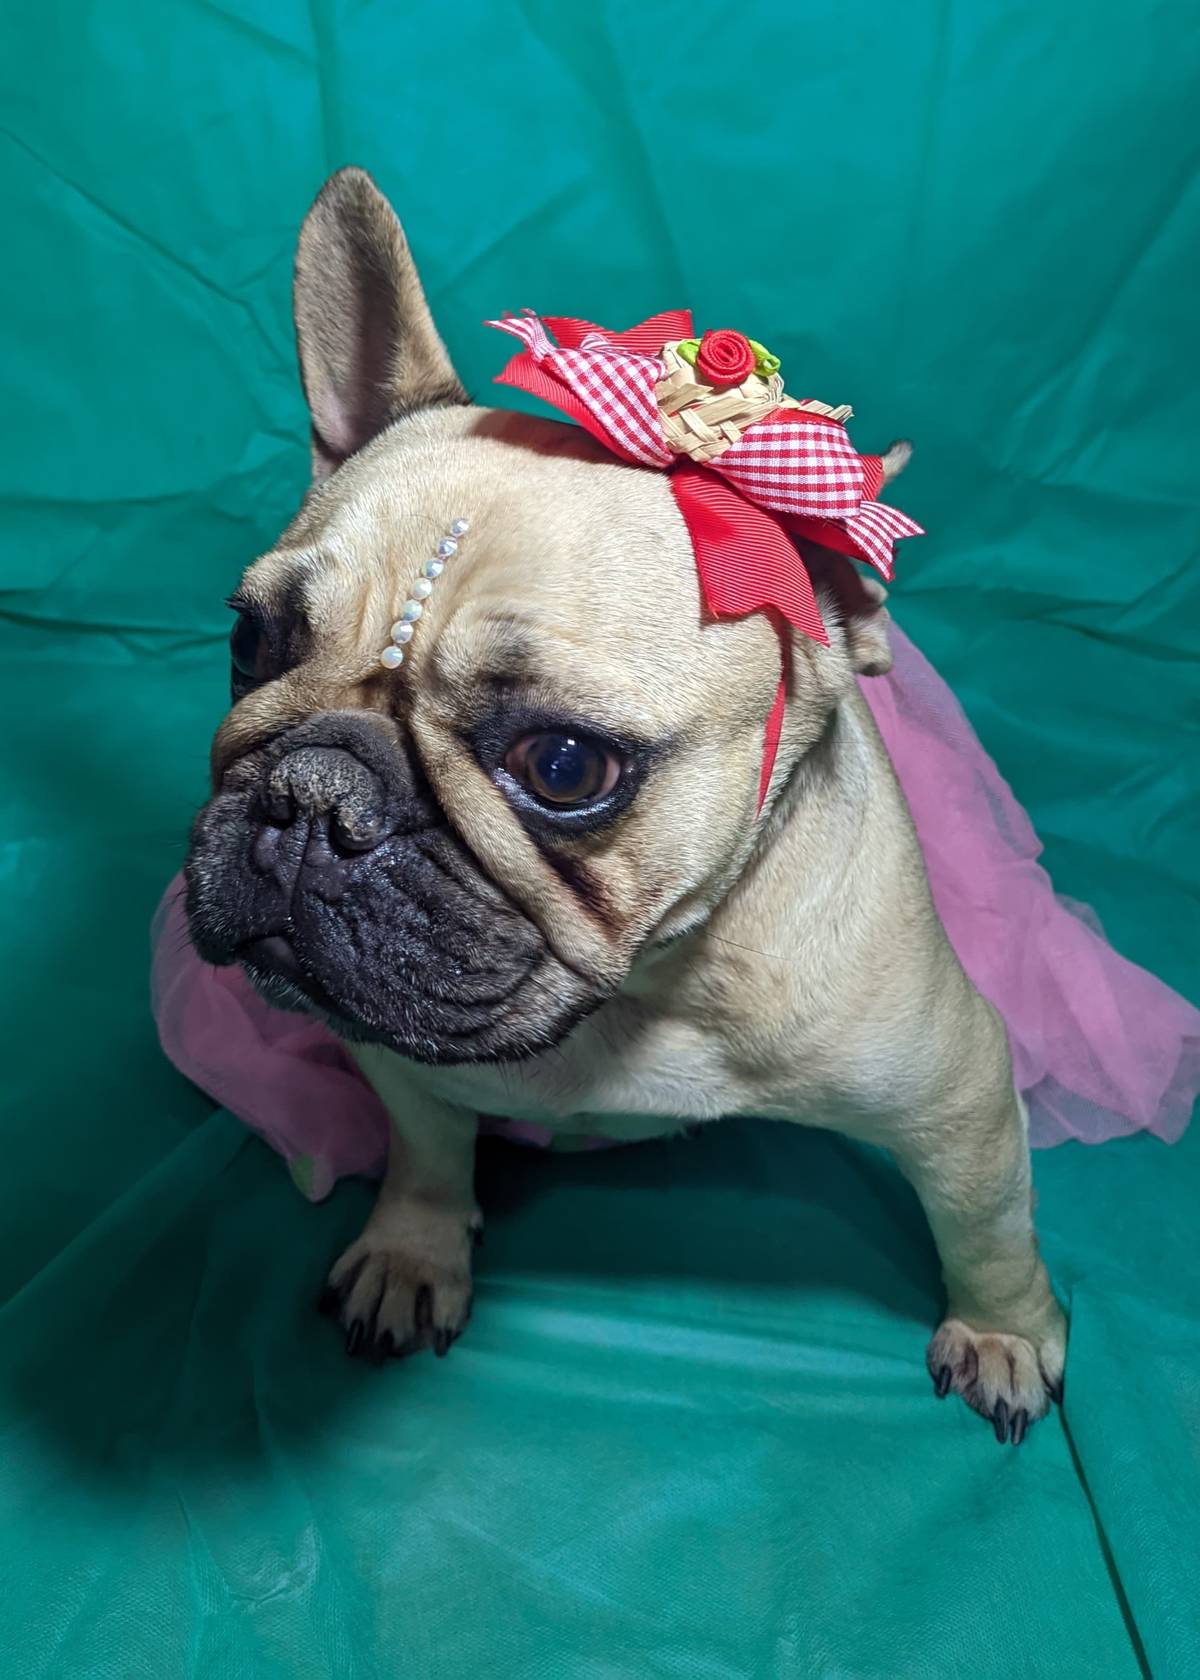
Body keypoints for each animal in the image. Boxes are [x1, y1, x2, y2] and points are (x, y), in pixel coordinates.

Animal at [184, 167, 1066, 1442]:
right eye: (253, 642)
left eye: (565, 768)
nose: (312, 798)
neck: (631, 992)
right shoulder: (391, 1053)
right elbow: (426, 1149)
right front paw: (413, 1250)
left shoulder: (961, 1095)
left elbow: (988, 1222)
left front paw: (1003, 1331)